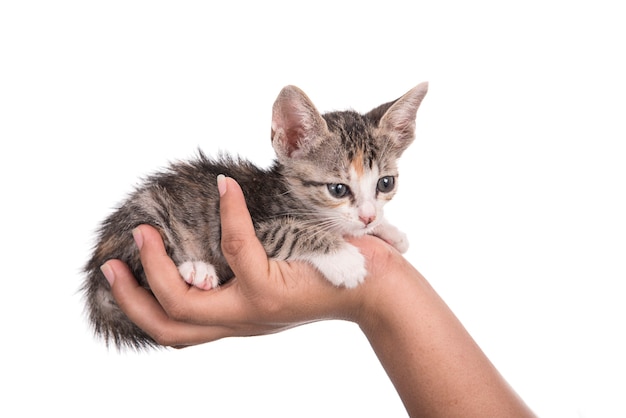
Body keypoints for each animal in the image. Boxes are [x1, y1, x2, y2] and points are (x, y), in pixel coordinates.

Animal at [83, 82, 426, 350]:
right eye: (338, 189)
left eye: (385, 183)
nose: (368, 217)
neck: (287, 193)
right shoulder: (250, 224)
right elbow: (293, 232)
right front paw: (344, 259)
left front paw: (388, 231)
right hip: (143, 215)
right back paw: (196, 269)